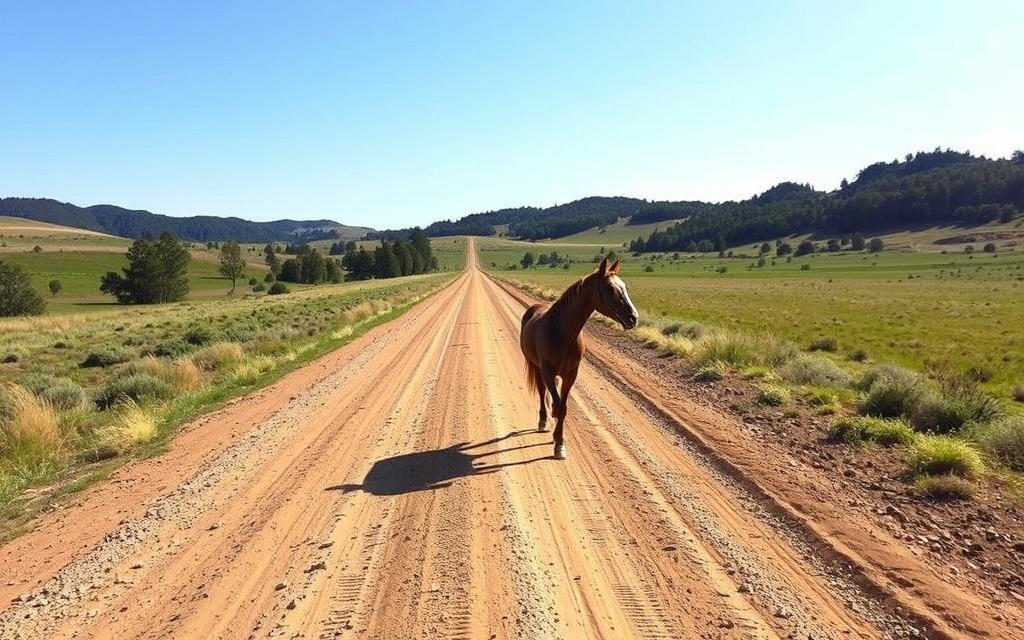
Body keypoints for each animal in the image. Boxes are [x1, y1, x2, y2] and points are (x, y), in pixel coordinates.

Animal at [524, 254, 634, 458]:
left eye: (624, 286)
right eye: (610, 289)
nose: (633, 317)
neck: (561, 331)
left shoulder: (571, 374)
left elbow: (563, 407)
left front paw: (558, 440)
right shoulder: (547, 372)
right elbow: (558, 405)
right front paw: (558, 443)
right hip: (536, 367)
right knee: (542, 392)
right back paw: (543, 420)